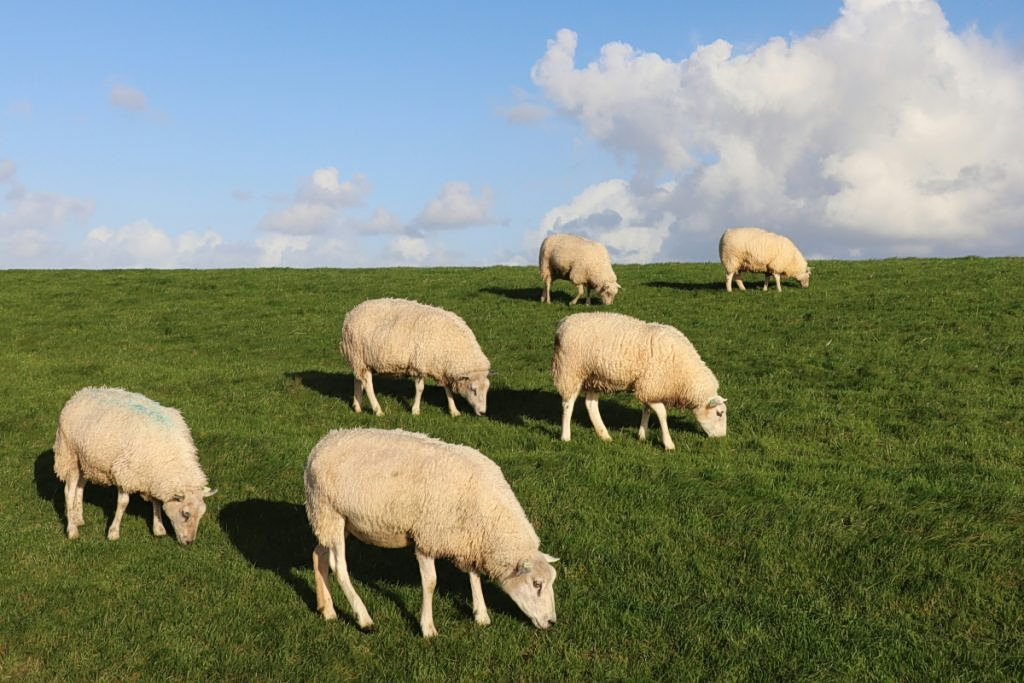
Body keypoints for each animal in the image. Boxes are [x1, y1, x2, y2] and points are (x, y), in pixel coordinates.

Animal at [52, 386, 216, 544]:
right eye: (185, 513)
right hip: (69, 454)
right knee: (69, 491)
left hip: (86, 461)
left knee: (81, 485)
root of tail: (80, 393)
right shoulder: (125, 472)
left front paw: (159, 528)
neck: (170, 456)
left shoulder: (152, 476)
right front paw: (113, 532)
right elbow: (123, 503)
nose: (189, 542)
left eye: (201, 514)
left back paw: (78, 517)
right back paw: (72, 528)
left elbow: (156, 501)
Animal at [304, 427, 559, 637]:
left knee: (319, 555)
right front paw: (427, 628)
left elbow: (474, 574)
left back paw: (326, 610)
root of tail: (322, 442)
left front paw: (481, 614)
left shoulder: (467, 539)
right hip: (329, 511)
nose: (552, 622)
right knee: (339, 568)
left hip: (335, 521)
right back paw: (364, 619)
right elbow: (431, 583)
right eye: (537, 584)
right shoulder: (427, 537)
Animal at [341, 298, 491, 417]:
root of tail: (351, 314)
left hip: (360, 360)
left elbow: (447, 388)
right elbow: (420, 389)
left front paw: (454, 411)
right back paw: (378, 410)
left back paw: (357, 406)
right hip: (360, 354)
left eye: (487, 389)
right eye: (473, 389)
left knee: (358, 380)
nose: (483, 412)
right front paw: (415, 410)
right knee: (367, 384)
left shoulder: (441, 368)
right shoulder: (420, 365)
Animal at [552, 312, 727, 450]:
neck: (684, 373)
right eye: (719, 413)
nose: (722, 438)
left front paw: (642, 435)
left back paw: (604, 435)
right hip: (571, 370)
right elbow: (662, 413)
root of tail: (563, 324)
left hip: (594, 377)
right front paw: (668, 443)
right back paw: (566, 436)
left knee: (590, 404)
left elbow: (647, 409)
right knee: (568, 404)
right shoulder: (651, 385)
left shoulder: (649, 386)